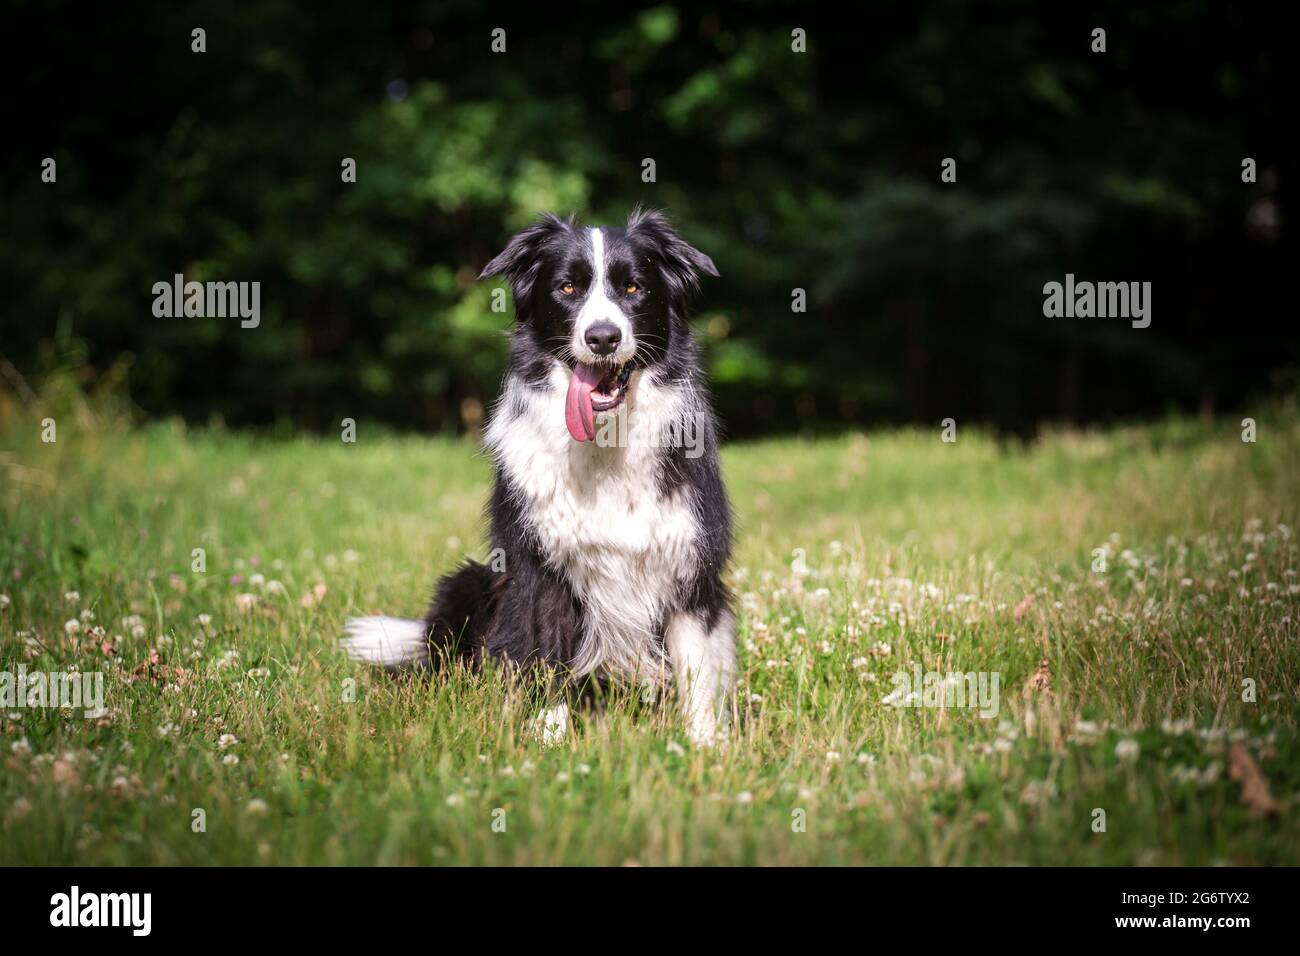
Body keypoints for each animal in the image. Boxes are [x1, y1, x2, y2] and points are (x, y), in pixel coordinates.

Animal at [340, 209, 738, 749]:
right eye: (567, 288)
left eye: (633, 288)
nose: (602, 337)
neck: (606, 445)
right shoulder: (537, 565)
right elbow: (547, 655)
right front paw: (547, 741)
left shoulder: (691, 565)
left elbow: (697, 667)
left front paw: (702, 747)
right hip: (469, 580)